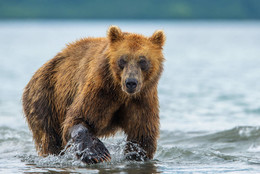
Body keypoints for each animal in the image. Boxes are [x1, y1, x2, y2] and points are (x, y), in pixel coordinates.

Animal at [21, 25, 165, 164]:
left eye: (143, 61)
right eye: (122, 60)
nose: (131, 82)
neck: (120, 93)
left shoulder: (142, 98)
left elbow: (142, 134)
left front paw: (136, 155)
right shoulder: (100, 89)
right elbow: (78, 118)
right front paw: (96, 153)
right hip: (45, 98)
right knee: (50, 138)